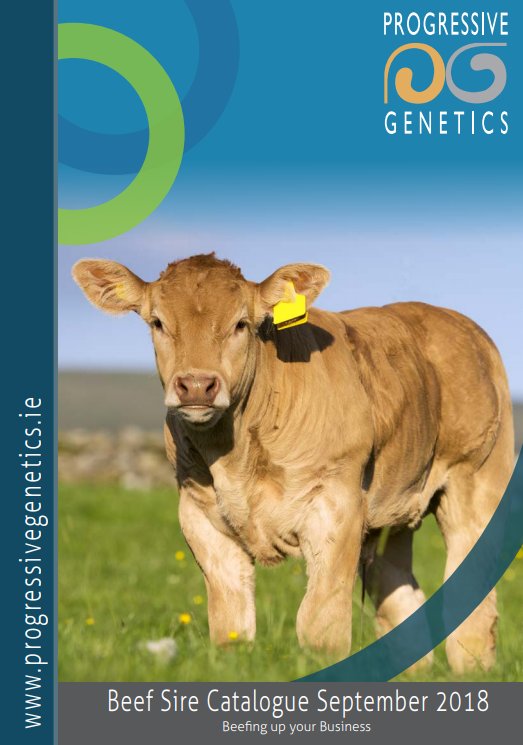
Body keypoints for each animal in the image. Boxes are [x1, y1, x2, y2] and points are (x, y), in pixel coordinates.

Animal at [73, 253, 514, 673]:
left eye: (241, 324)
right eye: (158, 322)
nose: (197, 385)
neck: (236, 457)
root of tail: (455, 321)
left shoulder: (336, 507)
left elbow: (320, 625)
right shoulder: (199, 515)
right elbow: (231, 622)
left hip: (476, 480)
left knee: (473, 603)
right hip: (394, 512)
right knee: (400, 595)